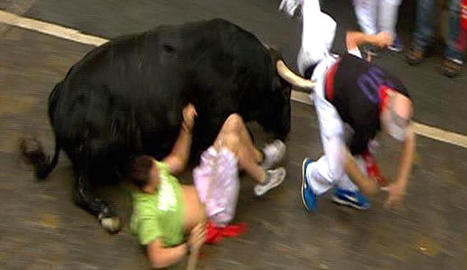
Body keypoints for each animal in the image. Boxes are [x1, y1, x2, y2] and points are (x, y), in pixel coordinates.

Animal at [22, 17, 292, 233]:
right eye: (284, 92)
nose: (286, 129)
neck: (238, 66)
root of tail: (61, 91)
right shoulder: (219, 116)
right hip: (99, 147)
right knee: (80, 189)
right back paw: (108, 214)